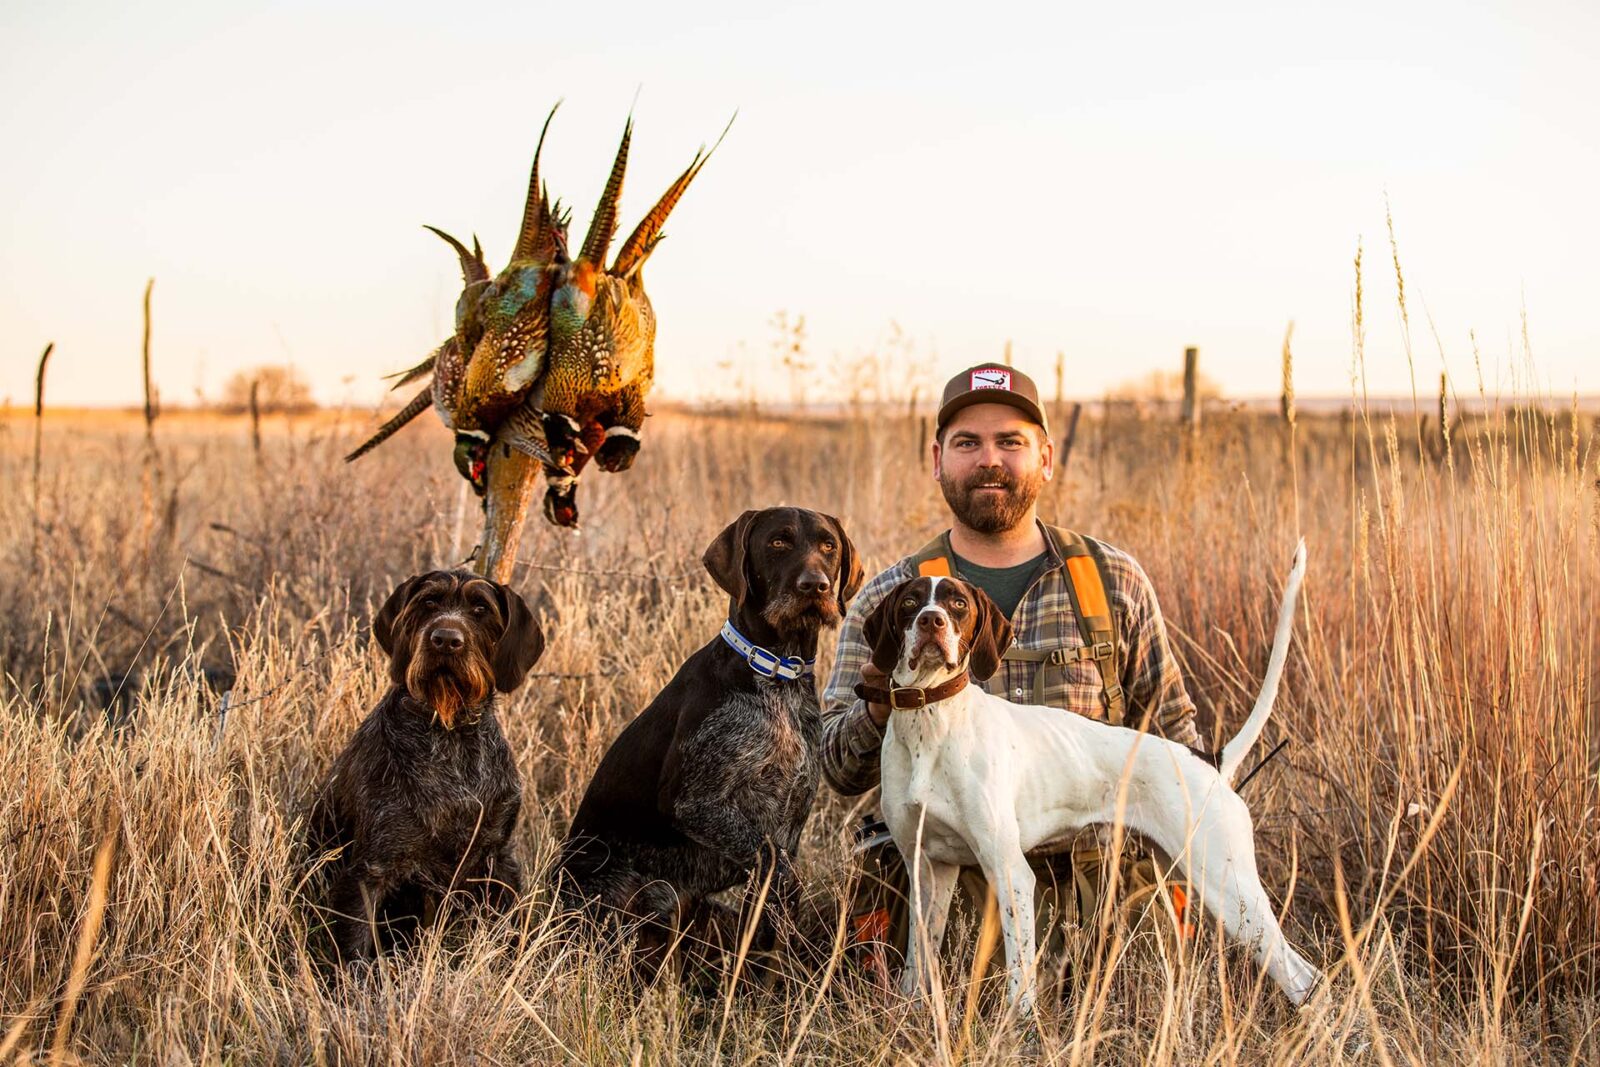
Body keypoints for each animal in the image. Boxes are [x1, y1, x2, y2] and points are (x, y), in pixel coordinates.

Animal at [304, 572, 544, 966]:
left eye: (481, 609)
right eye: (428, 603)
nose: (445, 639)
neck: (449, 732)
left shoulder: (497, 859)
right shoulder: (370, 871)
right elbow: (355, 952)